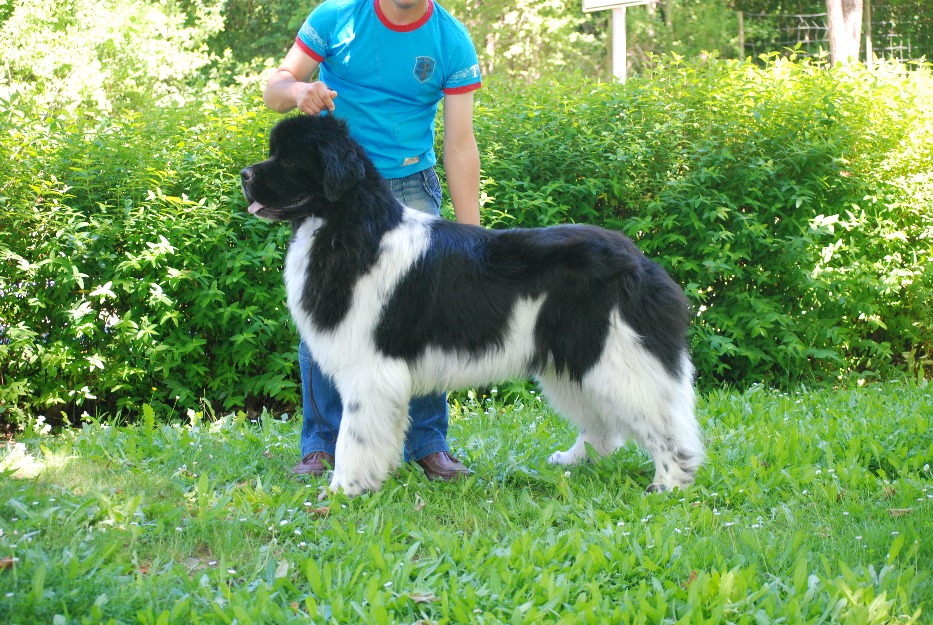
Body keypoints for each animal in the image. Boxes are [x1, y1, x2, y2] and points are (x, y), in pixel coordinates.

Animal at [238, 114, 700, 494]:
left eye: (289, 160)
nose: (243, 174)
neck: (349, 227)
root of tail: (639, 260)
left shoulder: (369, 370)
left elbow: (353, 436)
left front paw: (342, 490)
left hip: (615, 357)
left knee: (667, 425)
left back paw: (668, 484)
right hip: (573, 361)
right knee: (605, 428)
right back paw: (572, 461)